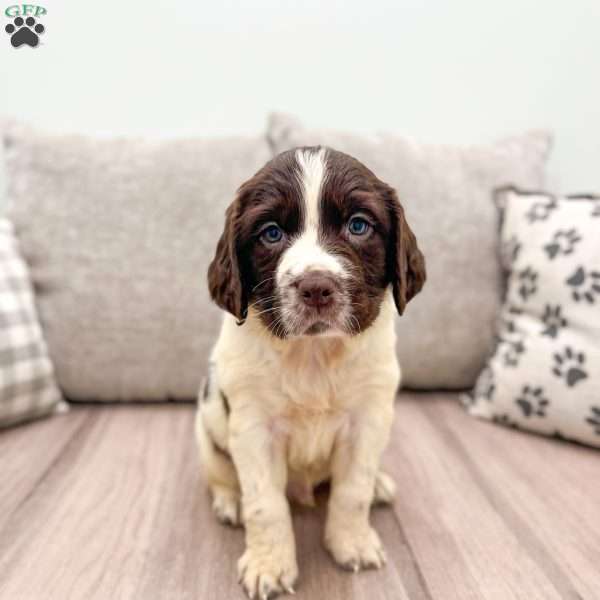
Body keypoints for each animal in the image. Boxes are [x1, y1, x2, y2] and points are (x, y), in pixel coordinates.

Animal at [195, 146, 424, 600]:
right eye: (270, 233)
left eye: (358, 226)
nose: (317, 288)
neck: (314, 354)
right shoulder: (253, 427)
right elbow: (265, 503)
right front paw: (269, 565)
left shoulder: (368, 419)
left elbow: (352, 490)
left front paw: (351, 543)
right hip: (206, 428)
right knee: (222, 474)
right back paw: (230, 501)